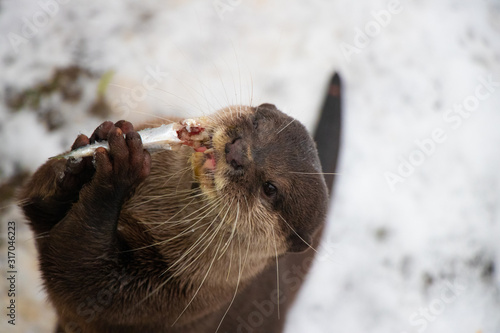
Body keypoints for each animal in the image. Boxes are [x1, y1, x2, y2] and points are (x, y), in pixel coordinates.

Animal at [18, 76, 340, 332]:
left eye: (270, 189)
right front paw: (82, 162)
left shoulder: (150, 303)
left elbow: (77, 277)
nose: (236, 151)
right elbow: (36, 208)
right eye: (256, 122)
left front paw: (120, 169)